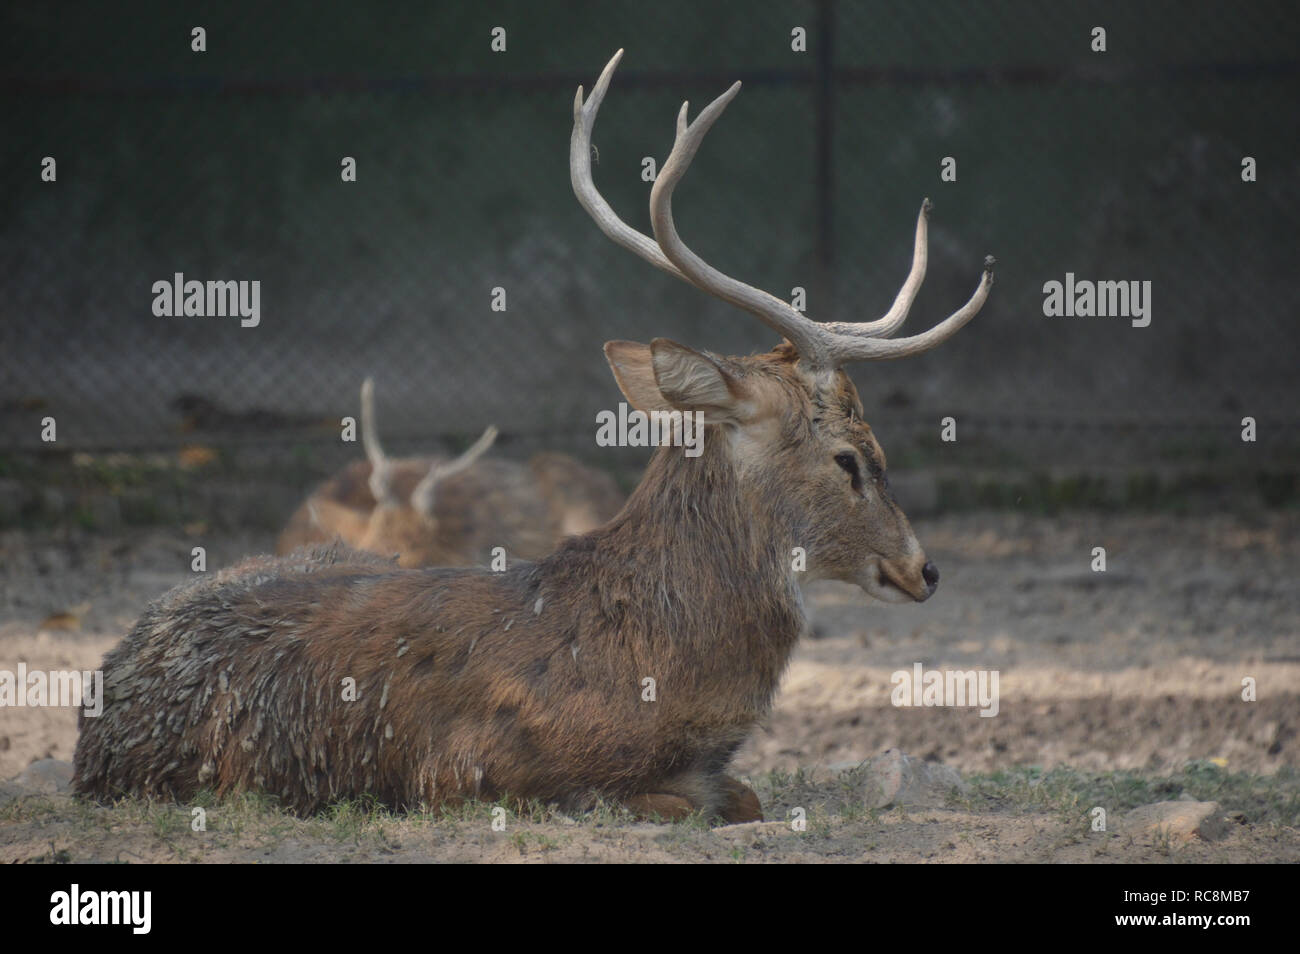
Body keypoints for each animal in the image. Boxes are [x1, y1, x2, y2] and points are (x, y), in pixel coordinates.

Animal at [73, 52, 993, 826]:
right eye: (850, 459)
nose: (926, 568)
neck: (653, 667)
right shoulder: (481, 770)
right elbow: (689, 804)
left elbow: (745, 794)